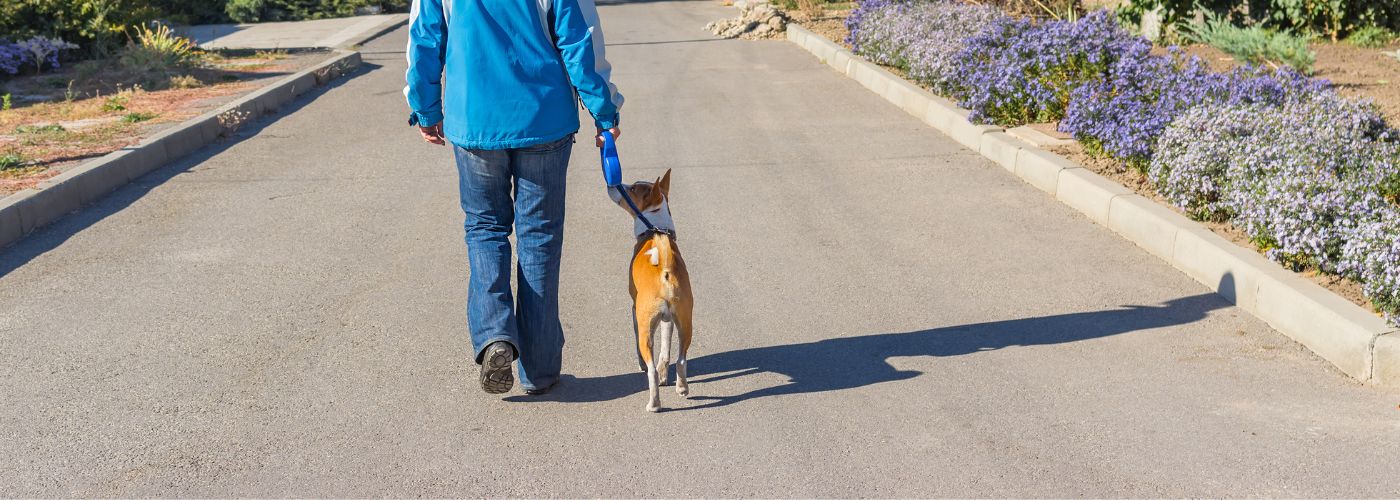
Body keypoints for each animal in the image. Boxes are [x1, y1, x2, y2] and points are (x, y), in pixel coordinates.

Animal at [607, 169, 694, 411]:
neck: (653, 229)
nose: (614, 184)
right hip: (685, 322)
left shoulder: (634, 310)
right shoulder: (668, 320)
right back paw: (682, 388)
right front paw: (667, 376)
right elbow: (666, 350)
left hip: (646, 324)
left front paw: (641, 365)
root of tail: (665, 269)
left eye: (632, 189)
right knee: (681, 359)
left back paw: (654, 404)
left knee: (651, 371)